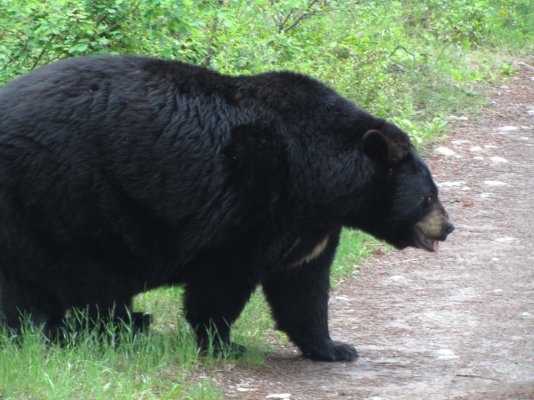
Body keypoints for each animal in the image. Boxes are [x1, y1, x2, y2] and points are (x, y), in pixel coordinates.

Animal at [0, 57, 454, 362]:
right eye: (428, 197)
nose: (448, 227)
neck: (322, 177)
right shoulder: (255, 201)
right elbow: (224, 278)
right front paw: (223, 343)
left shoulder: (311, 225)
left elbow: (302, 286)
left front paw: (334, 347)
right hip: (69, 197)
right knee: (89, 280)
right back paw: (119, 328)